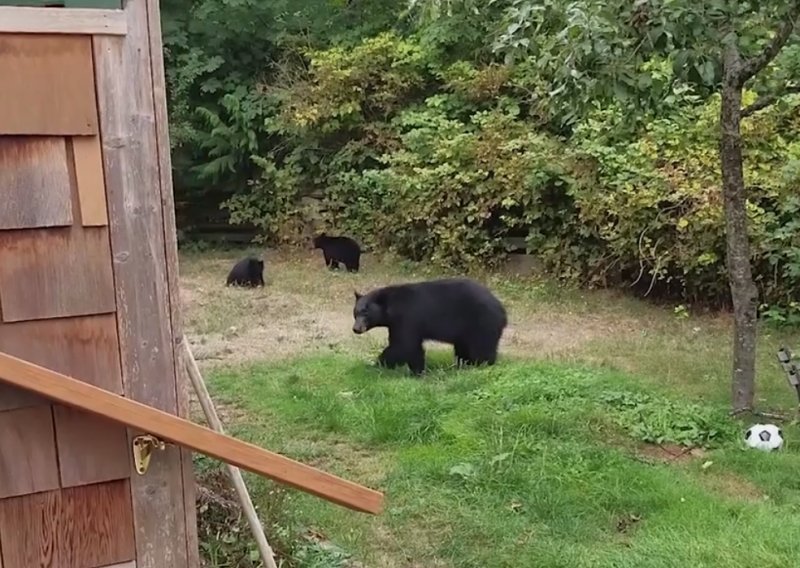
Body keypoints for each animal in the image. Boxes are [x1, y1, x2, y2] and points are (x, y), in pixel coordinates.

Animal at [352, 278, 506, 374]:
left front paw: (376, 365)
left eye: (365, 313)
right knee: (463, 349)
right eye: (355, 313)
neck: (392, 308)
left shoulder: (407, 319)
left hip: (481, 324)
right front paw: (418, 370)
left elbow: (403, 345)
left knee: (482, 348)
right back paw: (462, 366)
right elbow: (412, 348)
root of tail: (502, 310)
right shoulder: (397, 324)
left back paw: (482, 366)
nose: (356, 329)